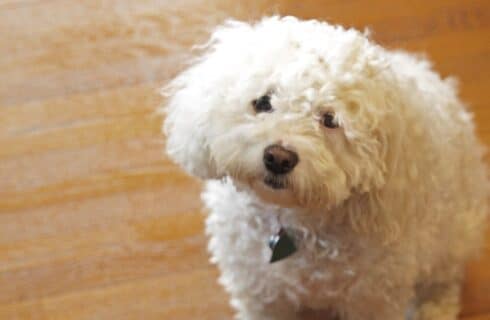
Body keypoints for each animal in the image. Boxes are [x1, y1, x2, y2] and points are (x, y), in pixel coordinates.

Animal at [163, 17, 488, 320]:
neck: (294, 221)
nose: (278, 158)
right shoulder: (260, 289)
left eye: (330, 120)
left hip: (451, 235)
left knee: (444, 278)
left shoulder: (373, 297)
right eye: (264, 102)